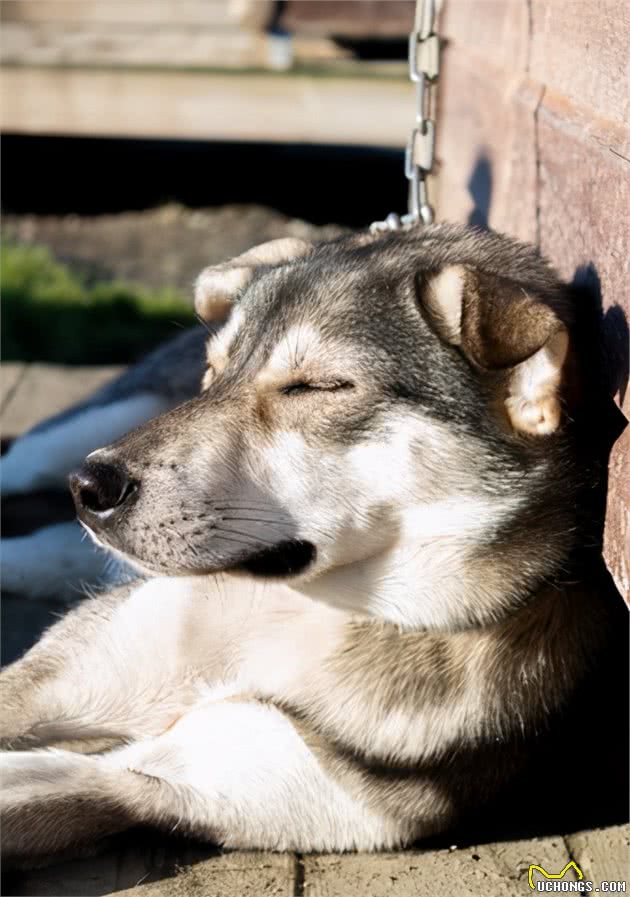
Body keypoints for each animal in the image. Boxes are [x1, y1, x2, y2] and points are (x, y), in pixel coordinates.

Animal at [0, 220, 628, 856]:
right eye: (215, 373)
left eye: (317, 386)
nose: (90, 487)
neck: (311, 615)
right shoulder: (50, 682)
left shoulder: (163, 778)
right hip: (69, 440)